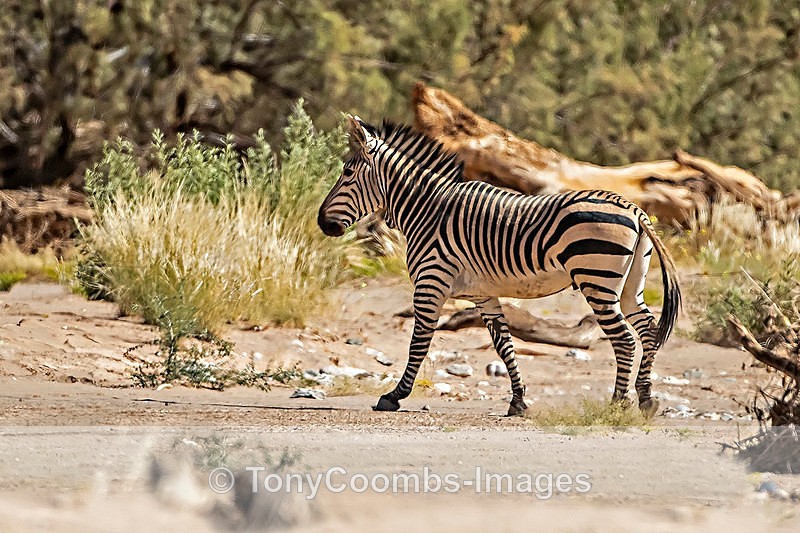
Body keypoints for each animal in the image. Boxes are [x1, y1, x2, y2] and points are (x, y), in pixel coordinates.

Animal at [318, 116, 681, 417]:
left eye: (347, 174)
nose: (323, 223)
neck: (427, 209)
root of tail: (633, 208)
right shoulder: (483, 295)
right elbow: (504, 345)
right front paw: (518, 401)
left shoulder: (430, 283)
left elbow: (418, 343)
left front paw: (394, 396)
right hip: (629, 283)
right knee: (647, 329)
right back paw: (646, 398)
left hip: (597, 279)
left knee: (625, 339)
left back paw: (617, 403)